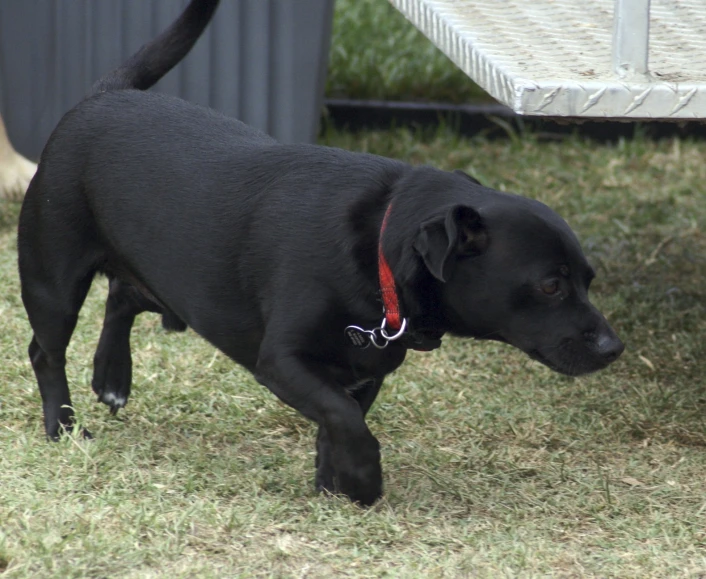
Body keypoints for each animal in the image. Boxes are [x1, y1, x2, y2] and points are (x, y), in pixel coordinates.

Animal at [17, 0, 620, 508]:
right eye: (550, 285)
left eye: (589, 278)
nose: (613, 347)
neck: (379, 248)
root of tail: (104, 92)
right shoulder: (283, 360)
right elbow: (346, 418)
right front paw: (363, 480)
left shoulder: (367, 368)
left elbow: (343, 417)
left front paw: (334, 483)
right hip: (53, 275)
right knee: (46, 352)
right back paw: (63, 427)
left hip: (167, 278)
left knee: (124, 294)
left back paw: (112, 376)